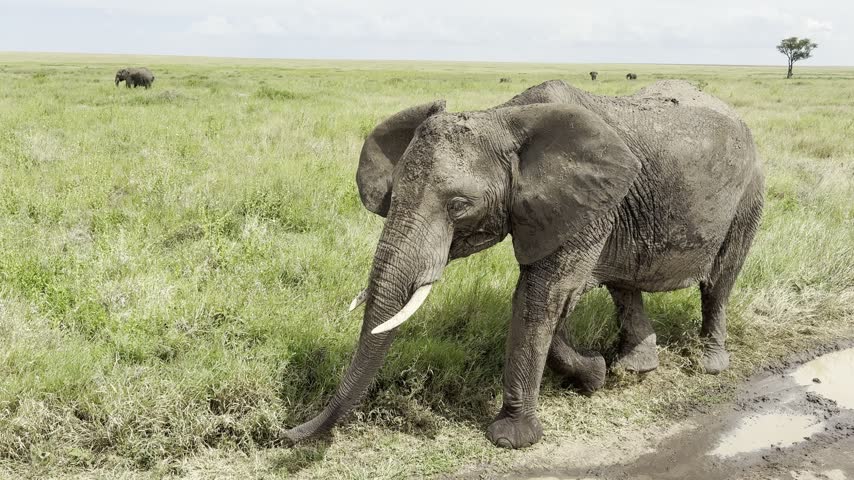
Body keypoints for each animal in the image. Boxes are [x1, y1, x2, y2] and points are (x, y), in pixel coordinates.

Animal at [285, 79, 764, 449]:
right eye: (394, 195)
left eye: (459, 206)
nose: (284, 433)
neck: (503, 117)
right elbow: (550, 300)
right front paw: (596, 374)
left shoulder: (588, 204)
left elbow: (544, 296)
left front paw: (511, 438)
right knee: (624, 284)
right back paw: (634, 367)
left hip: (749, 193)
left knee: (720, 281)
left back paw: (710, 364)